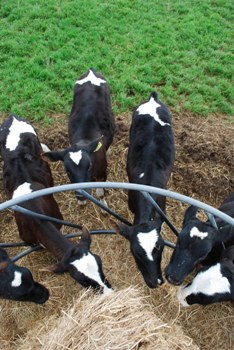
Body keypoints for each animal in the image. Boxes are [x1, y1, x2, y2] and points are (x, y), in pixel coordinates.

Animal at [44, 67, 115, 206]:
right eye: (67, 170)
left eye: (89, 166)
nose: (82, 195)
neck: (85, 138)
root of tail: (91, 70)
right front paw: (81, 202)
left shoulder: (103, 172)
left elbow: (101, 192)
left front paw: (103, 204)